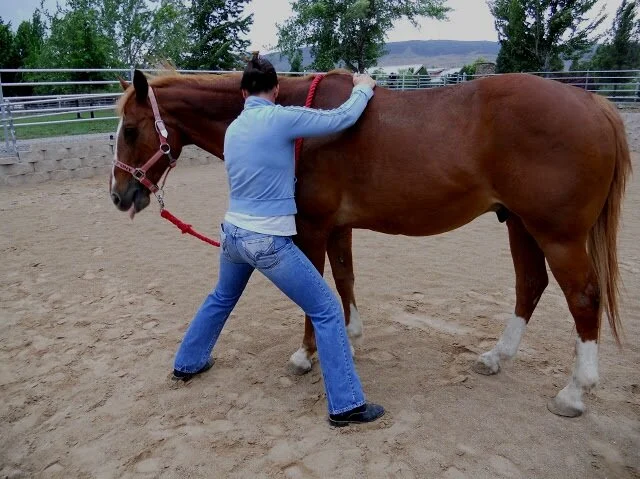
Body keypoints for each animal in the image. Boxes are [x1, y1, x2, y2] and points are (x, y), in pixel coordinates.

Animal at [109, 68, 631, 418]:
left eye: (131, 130)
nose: (119, 195)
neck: (301, 120)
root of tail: (595, 104)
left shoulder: (312, 227)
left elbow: (315, 289)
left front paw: (306, 355)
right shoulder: (338, 227)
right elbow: (343, 279)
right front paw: (352, 338)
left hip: (557, 235)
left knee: (582, 298)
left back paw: (575, 392)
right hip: (519, 224)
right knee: (530, 285)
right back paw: (495, 358)